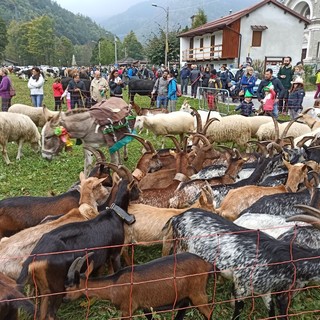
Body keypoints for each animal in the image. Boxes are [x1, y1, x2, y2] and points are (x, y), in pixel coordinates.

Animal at [65, 252, 214, 320]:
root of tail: (207, 264)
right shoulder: (145, 307)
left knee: (208, 312)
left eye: (70, 286)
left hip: (198, 293)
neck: (114, 284)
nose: (64, 299)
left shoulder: (128, 308)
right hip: (185, 295)